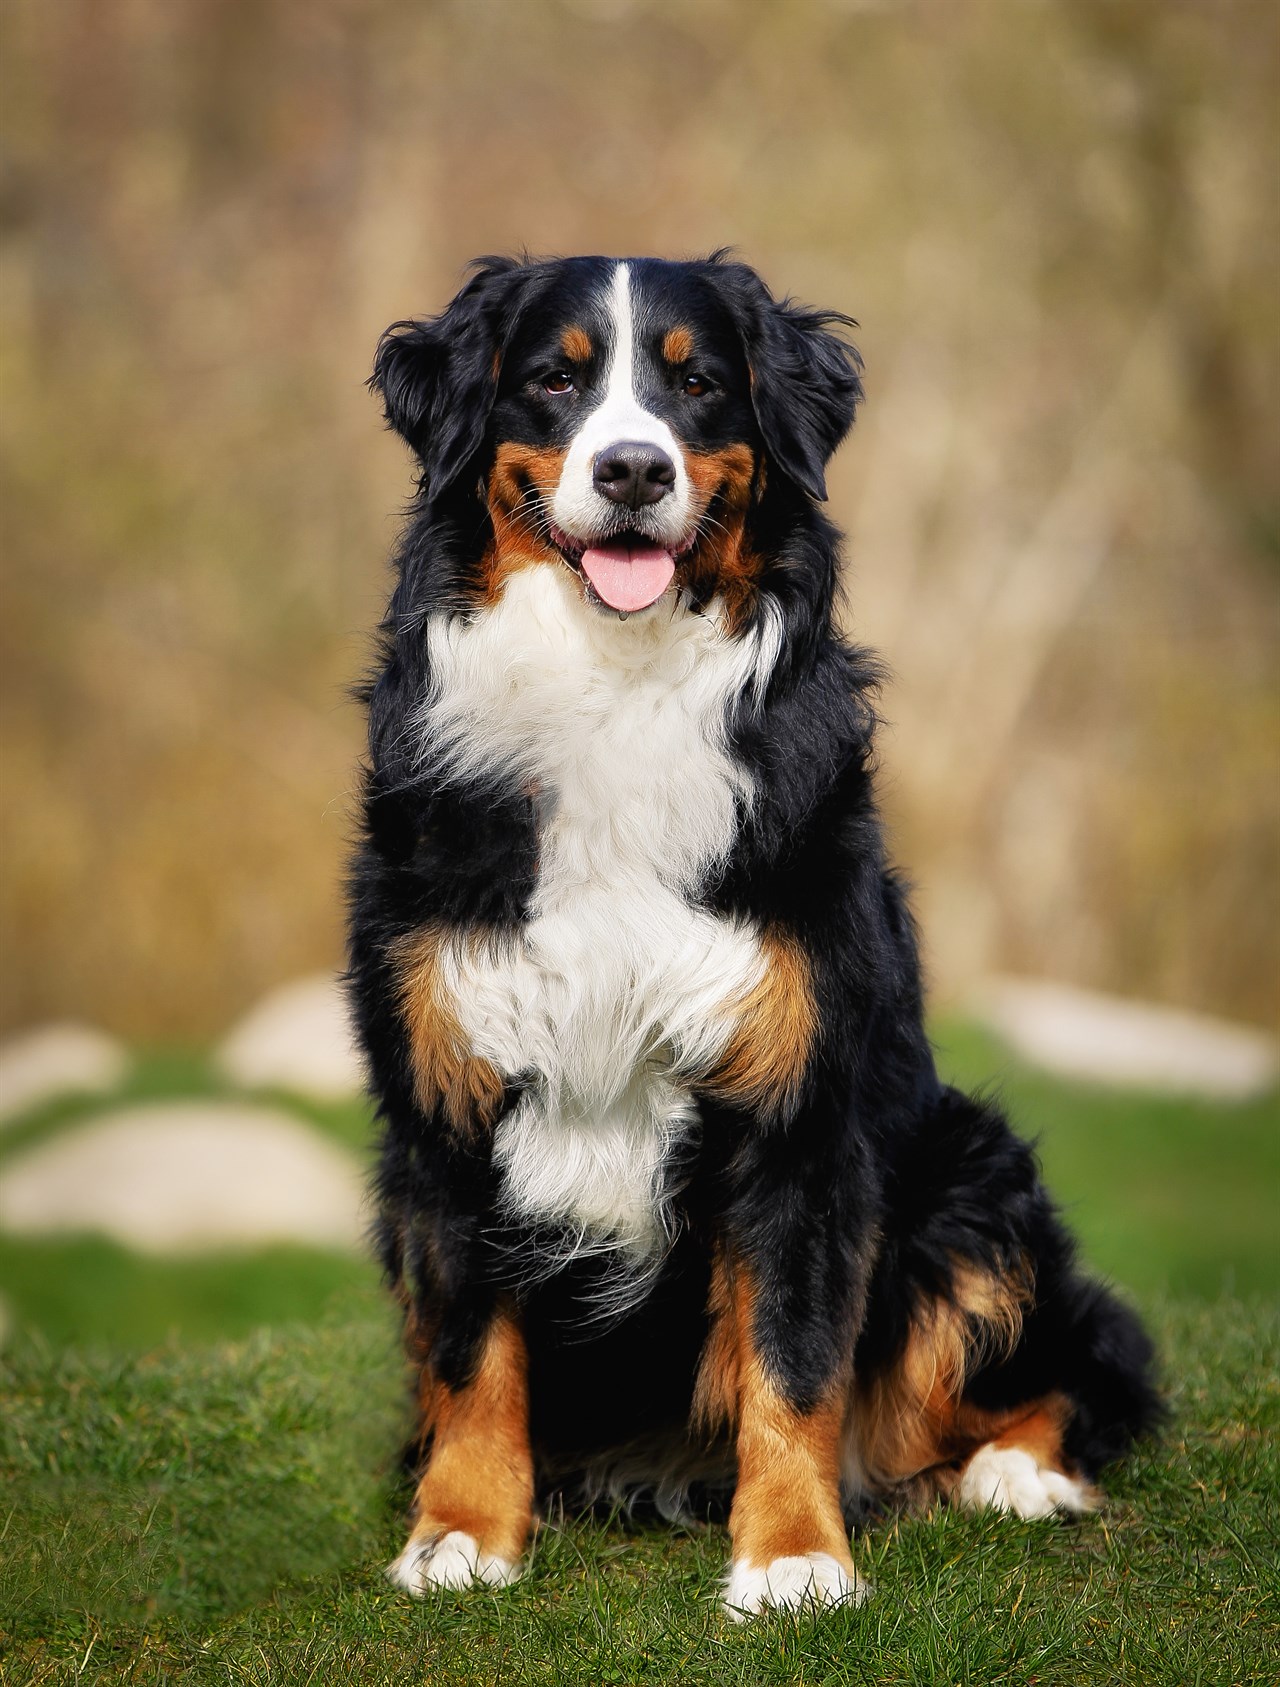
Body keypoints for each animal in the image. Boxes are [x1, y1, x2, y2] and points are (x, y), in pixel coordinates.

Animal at [347, 253, 1160, 1619]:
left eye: (697, 383)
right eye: (553, 378)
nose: (632, 470)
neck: (614, 688)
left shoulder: (799, 1108)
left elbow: (791, 1352)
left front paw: (790, 1555)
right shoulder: (441, 1104)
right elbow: (468, 1349)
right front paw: (458, 1531)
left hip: (969, 1178)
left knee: (1074, 1370)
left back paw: (1014, 1472)